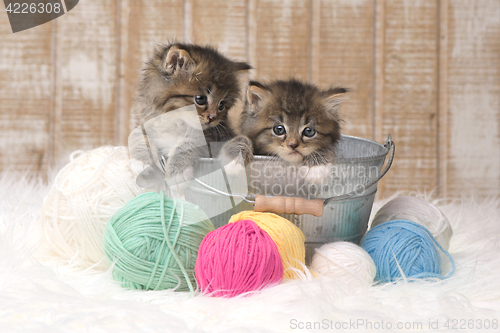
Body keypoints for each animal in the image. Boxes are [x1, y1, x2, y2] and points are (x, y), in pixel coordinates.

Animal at [131, 41, 252, 187]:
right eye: (200, 99)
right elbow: (137, 136)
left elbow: (186, 145)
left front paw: (177, 172)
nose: (212, 118)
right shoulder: (143, 120)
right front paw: (141, 161)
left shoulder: (212, 139)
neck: (173, 120)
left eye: (221, 105)